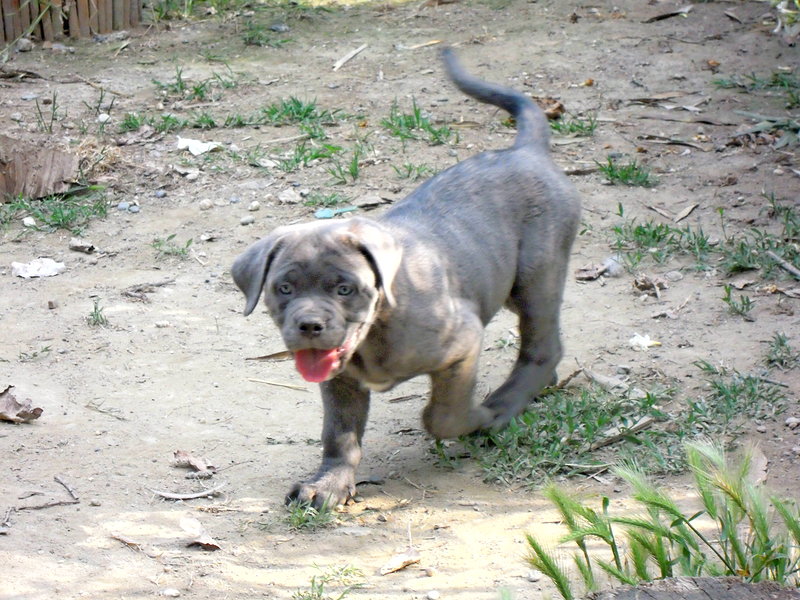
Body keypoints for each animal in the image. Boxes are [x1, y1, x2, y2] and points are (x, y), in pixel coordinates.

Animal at [231, 49, 580, 508]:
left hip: (536, 276)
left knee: (542, 344)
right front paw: (329, 483)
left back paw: (507, 403)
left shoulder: (462, 342)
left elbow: (441, 415)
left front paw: (480, 416)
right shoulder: (341, 380)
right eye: (283, 289)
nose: (309, 326)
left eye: (345, 289)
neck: (376, 331)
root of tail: (525, 151)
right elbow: (339, 434)